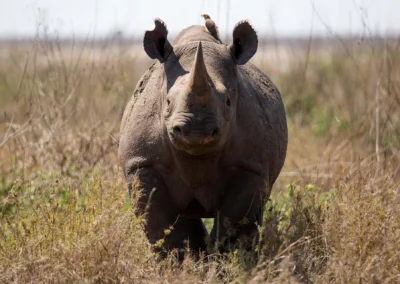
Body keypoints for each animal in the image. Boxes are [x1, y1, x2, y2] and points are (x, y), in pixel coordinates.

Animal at [119, 18, 288, 256]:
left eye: (228, 102)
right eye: (167, 102)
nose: (196, 131)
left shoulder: (250, 164)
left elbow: (235, 220)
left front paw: (228, 259)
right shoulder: (143, 162)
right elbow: (163, 221)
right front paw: (184, 260)